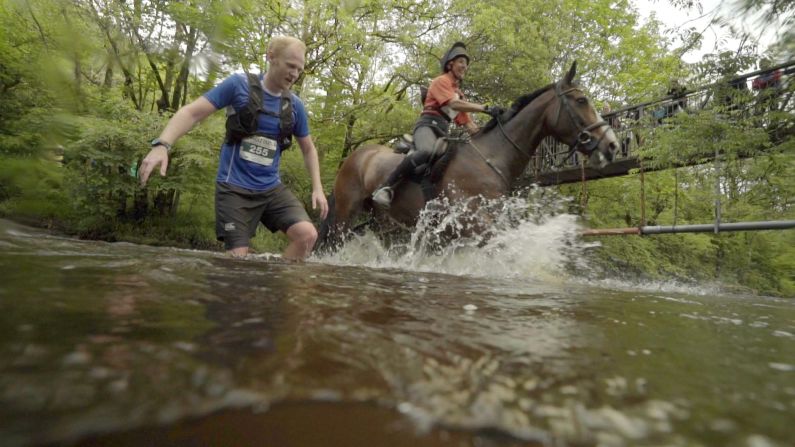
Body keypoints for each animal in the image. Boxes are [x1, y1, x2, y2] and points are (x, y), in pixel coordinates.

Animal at [314, 61, 620, 252]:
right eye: (581, 100)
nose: (612, 145)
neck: (491, 158)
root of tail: (356, 156)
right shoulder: (471, 222)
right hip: (345, 214)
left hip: (380, 221)